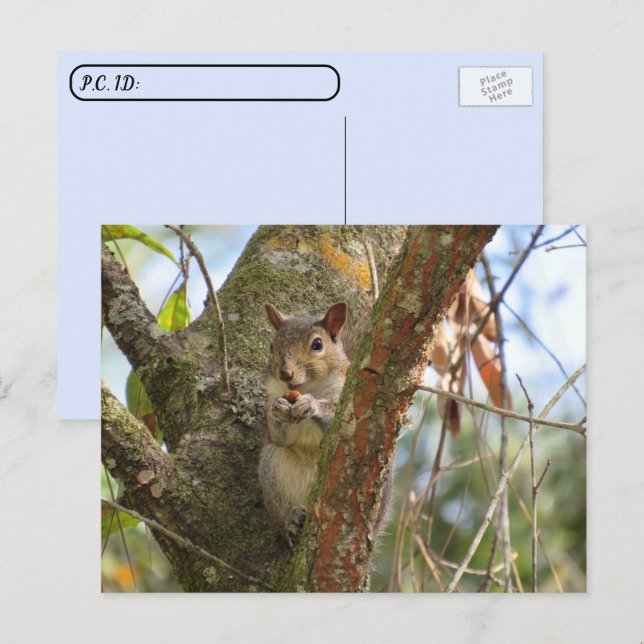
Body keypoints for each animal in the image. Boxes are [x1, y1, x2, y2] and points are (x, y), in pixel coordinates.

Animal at [258, 301, 350, 546]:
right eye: (272, 346)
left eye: (317, 344)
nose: (285, 373)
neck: (311, 387)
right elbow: (280, 436)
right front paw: (277, 409)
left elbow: (337, 419)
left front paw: (311, 405)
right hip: (272, 469)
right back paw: (293, 522)